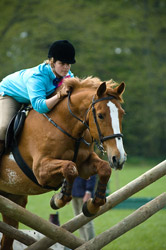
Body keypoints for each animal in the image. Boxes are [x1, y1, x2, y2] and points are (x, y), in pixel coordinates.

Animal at [0, 76, 126, 250]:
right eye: (101, 115)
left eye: (122, 114)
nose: (119, 158)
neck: (66, 125)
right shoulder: (40, 170)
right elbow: (69, 167)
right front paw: (58, 199)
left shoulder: (85, 165)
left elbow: (104, 168)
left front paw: (92, 205)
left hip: (13, 199)